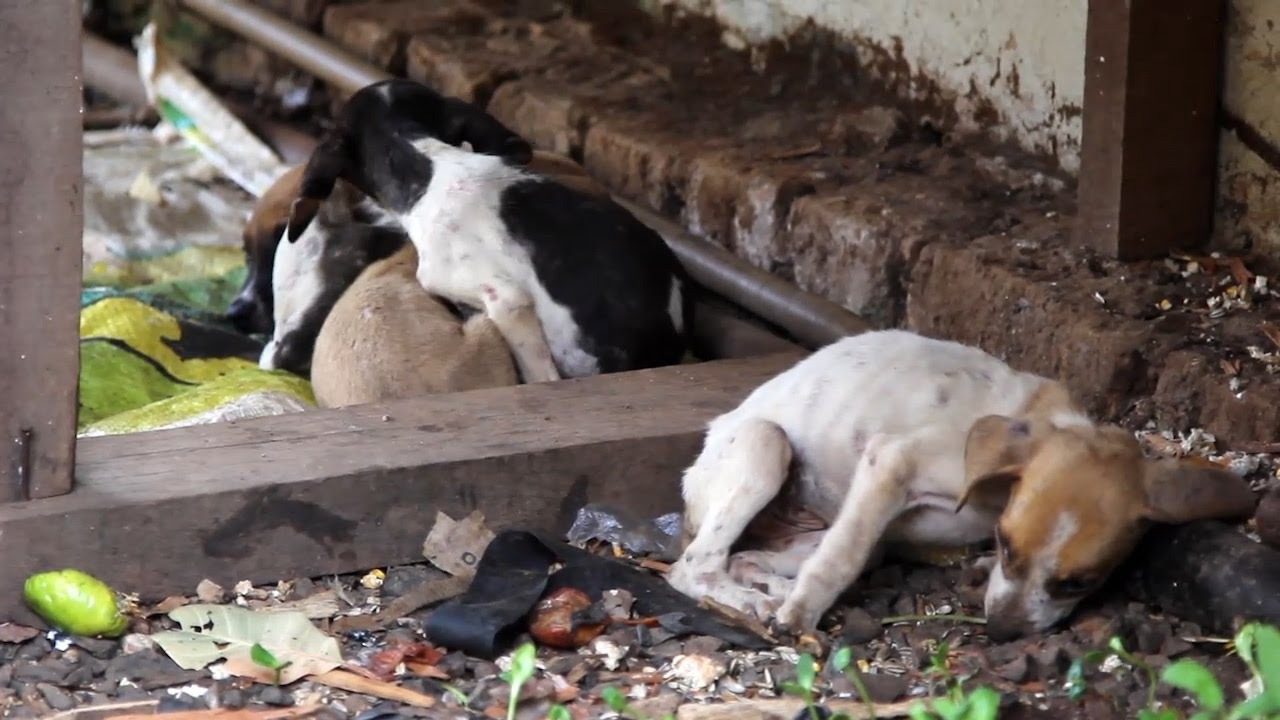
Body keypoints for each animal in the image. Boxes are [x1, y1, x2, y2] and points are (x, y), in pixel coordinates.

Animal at [675, 327, 1254, 635]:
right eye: (1006, 546)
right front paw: (800, 616)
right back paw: (752, 601)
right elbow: (842, 557)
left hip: (821, 532)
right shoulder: (890, 460)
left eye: (1079, 583)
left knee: (746, 558)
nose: (1001, 631)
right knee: (692, 567)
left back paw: (764, 586)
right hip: (764, 445)